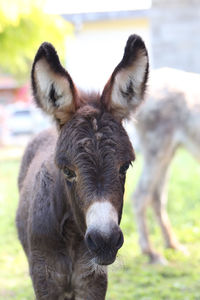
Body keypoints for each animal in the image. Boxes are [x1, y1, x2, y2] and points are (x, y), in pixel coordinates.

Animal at [16, 34, 148, 298]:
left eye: (125, 167)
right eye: (68, 171)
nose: (105, 241)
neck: (72, 233)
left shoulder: (92, 279)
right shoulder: (44, 279)